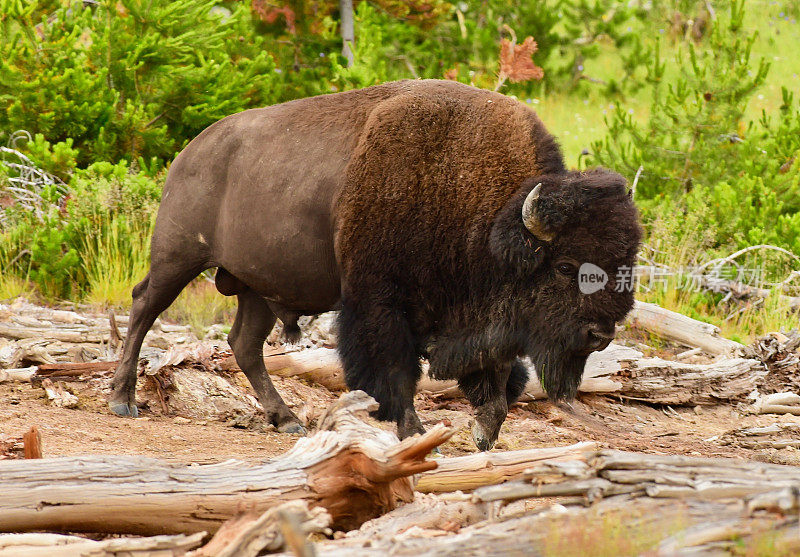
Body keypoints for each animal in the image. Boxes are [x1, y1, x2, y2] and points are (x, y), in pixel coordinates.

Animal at [108, 78, 644, 450]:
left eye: (626, 261)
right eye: (565, 265)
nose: (601, 335)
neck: (485, 213)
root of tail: (190, 153)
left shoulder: (485, 323)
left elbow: (496, 380)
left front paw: (483, 436)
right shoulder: (380, 304)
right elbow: (396, 373)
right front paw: (415, 433)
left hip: (256, 288)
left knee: (244, 344)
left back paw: (287, 420)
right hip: (178, 256)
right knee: (144, 307)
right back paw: (122, 400)